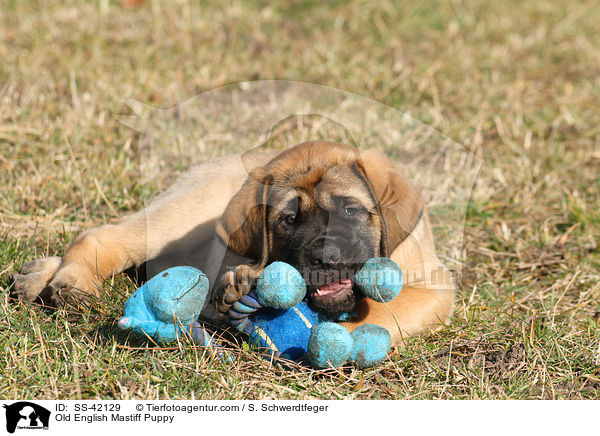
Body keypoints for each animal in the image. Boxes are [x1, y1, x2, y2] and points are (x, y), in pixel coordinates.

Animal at [12, 143, 454, 344]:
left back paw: (35, 277)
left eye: (350, 209)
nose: (326, 259)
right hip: (185, 212)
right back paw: (72, 284)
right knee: (104, 236)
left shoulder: (435, 289)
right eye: (288, 220)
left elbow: (381, 311)